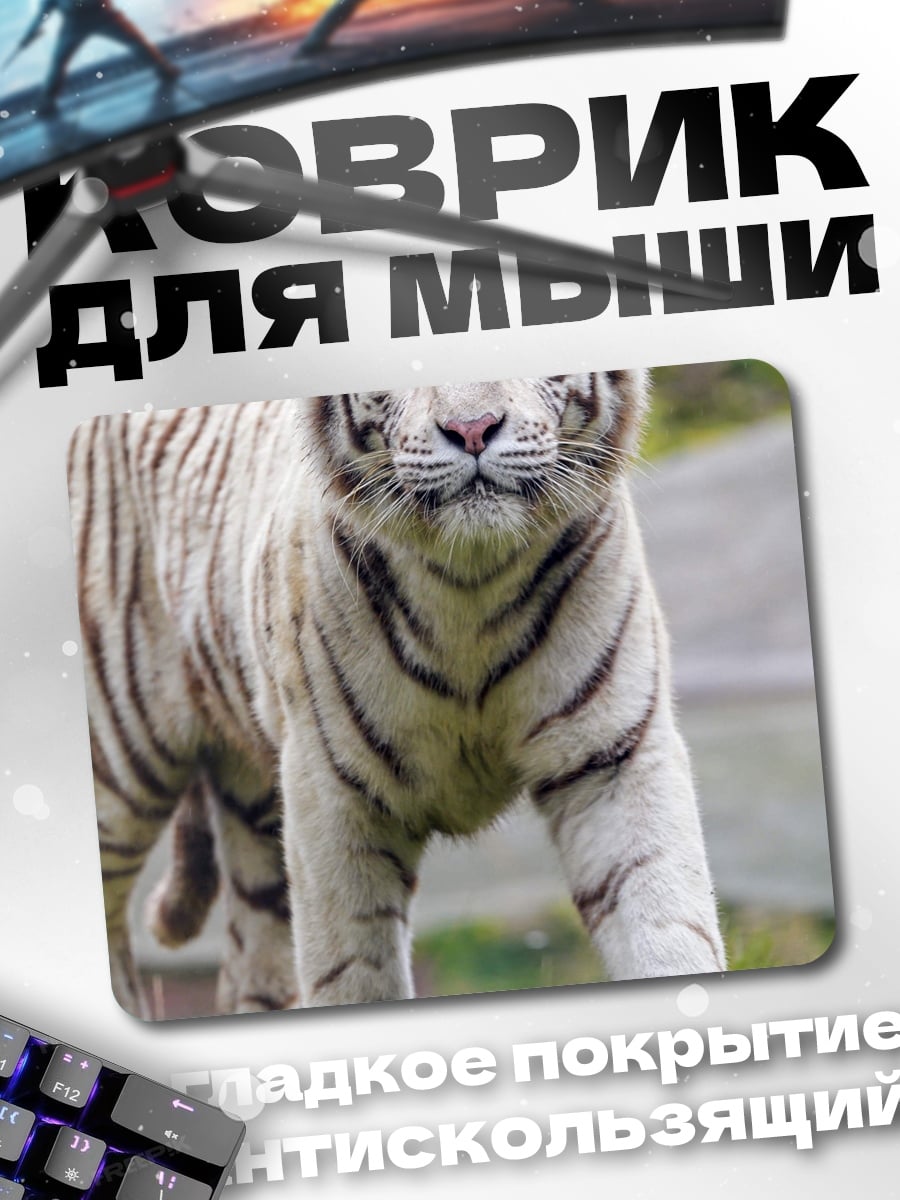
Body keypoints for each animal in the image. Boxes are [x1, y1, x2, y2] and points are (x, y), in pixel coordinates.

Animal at [67, 371, 725, 1017]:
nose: (472, 429)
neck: (471, 586)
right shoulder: (332, 797)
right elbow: (350, 970)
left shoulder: (612, 758)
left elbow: (668, 925)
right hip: (120, 769)